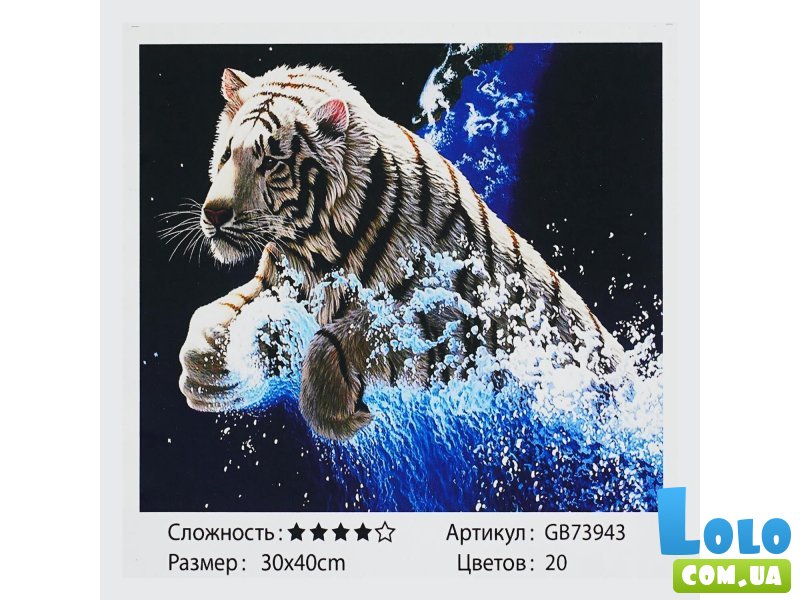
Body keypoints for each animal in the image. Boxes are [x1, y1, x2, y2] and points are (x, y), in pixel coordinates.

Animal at [177, 65, 625, 440]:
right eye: (226, 154)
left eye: (270, 161)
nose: (214, 213)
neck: (314, 250)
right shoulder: (278, 284)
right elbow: (215, 315)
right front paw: (206, 373)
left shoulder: (447, 325)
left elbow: (345, 336)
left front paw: (339, 415)